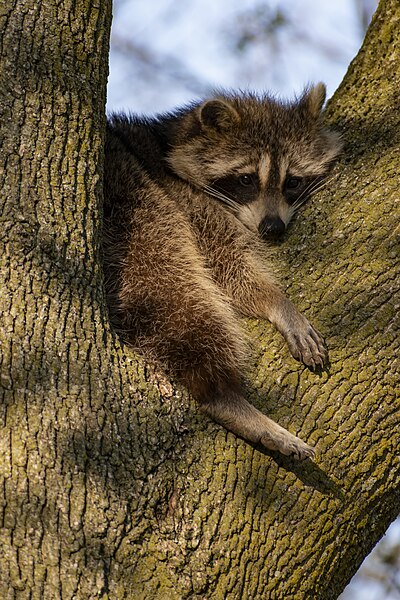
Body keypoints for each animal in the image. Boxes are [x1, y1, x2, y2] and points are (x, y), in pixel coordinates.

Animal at [103, 83, 340, 460]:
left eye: (293, 182)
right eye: (246, 179)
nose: (272, 228)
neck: (169, 146)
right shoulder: (184, 198)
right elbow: (228, 266)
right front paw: (277, 302)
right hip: (130, 201)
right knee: (169, 279)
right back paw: (220, 393)